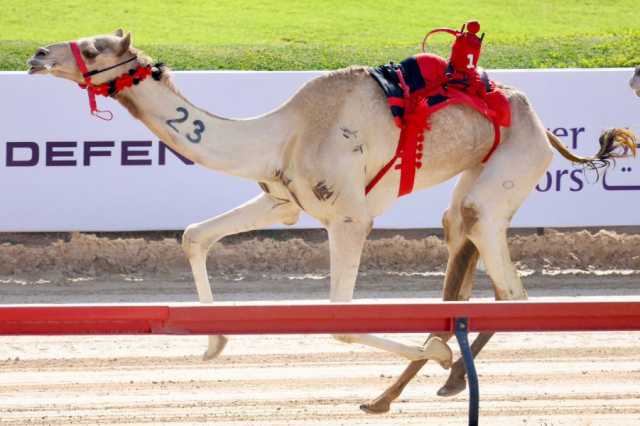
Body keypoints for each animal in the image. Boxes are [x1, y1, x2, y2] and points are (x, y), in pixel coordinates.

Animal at [26, 31, 636, 408]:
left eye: (91, 48)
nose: (36, 55)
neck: (279, 134)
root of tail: (545, 126)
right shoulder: (282, 200)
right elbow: (194, 235)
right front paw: (214, 343)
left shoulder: (348, 217)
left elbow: (340, 321)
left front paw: (437, 352)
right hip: (475, 180)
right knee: (461, 250)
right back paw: (410, 390)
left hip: (511, 166)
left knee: (509, 286)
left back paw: (439, 371)